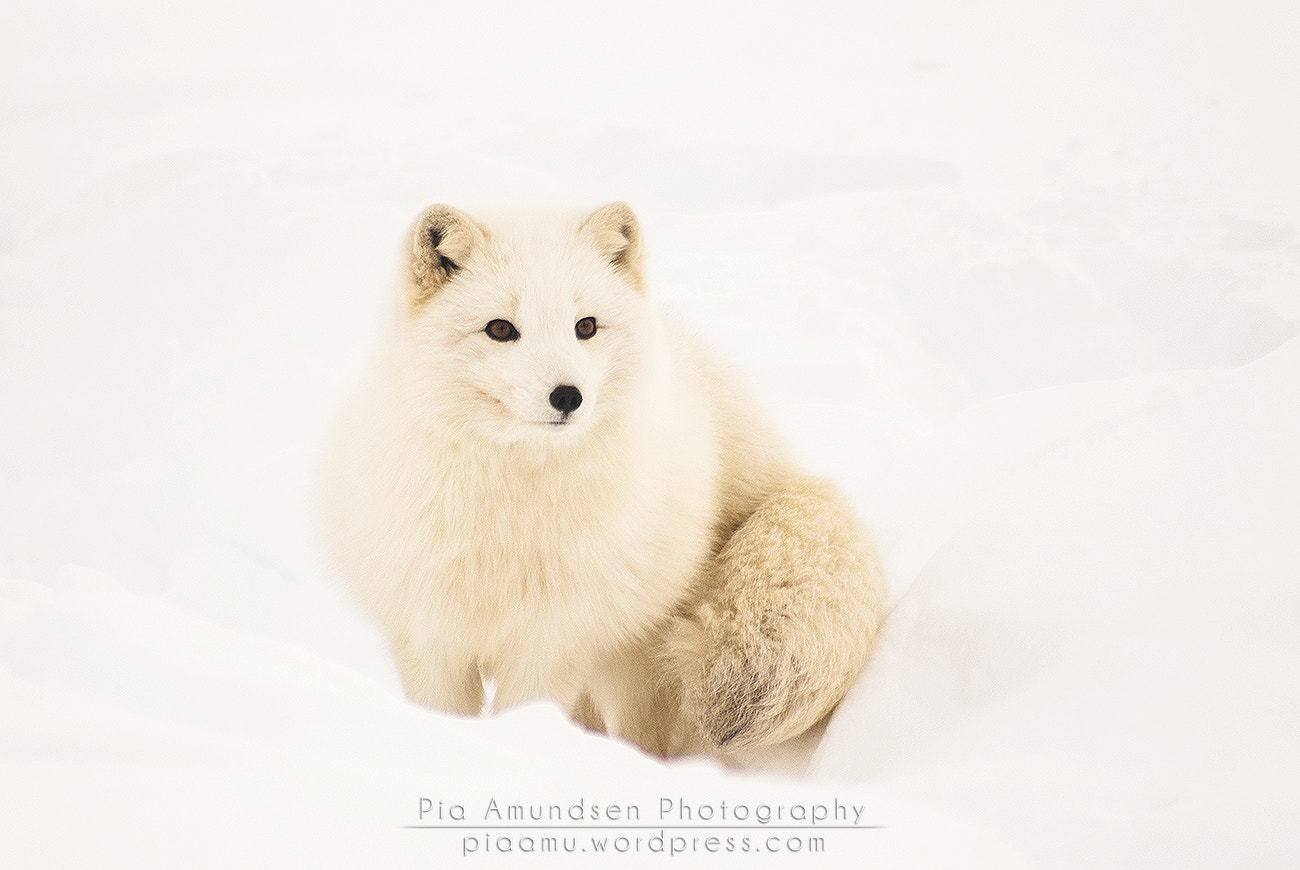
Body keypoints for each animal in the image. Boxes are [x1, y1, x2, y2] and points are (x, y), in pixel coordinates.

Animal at [317, 202, 886, 757]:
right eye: (500, 329)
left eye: (585, 326)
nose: (568, 395)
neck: (508, 519)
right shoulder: (429, 635)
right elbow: (441, 710)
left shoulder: (555, 640)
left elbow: (529, 709)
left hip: (633, 660)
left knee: (645, 736)